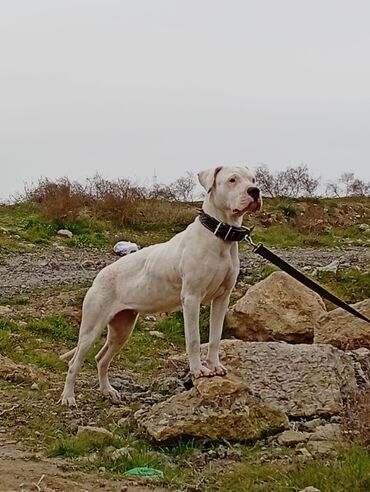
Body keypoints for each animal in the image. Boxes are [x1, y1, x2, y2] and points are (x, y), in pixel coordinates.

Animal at [60, 167, 260, 406]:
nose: (255, 191)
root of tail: (99, 276)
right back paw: (68, 397)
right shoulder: (191, 298)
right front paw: (198, 370)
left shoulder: (222, 298)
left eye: (253, 179)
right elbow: (194, 340)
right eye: (232, 180)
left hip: (122, 329)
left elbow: (215, 338)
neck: (220, 235)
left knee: (101, 359)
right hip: (91, 329)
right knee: (74, 363)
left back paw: (107, 391)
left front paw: (214, 365)